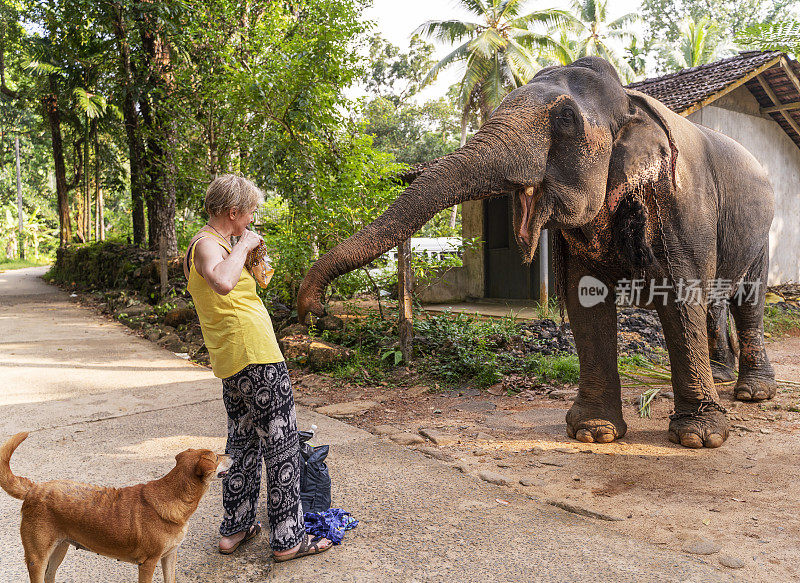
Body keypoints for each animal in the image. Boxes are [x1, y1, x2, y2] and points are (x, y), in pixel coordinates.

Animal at [0, 434, 231, 583]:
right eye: (216, 457)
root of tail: (34, 488)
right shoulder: (148, 563)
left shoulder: (169, 556)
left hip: (59, 550)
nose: (231, 454)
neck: (174, 494)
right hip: (37, 559)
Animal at [296, 57, 776, 450]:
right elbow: (585, 299)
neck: (630, 101)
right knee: (716, 303)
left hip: (763, 232)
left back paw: (752, 393)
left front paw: (700, 438)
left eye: (565, 118)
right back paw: (722, 378)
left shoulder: (682, 206)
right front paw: (594, 433)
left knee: (746, 300)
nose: (317, 312)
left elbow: (680, 297)